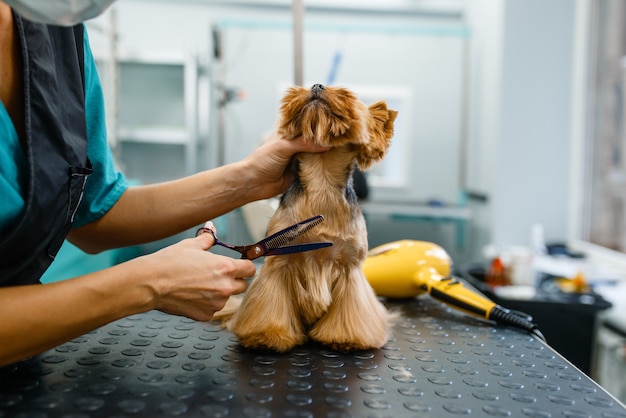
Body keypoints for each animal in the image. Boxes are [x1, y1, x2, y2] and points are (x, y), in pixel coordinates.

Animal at [219, 84, 394, 352]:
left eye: (347, 94)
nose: (317, 85)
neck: (321, 178)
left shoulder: (349, 267)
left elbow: (350, 309)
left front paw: (347, 338)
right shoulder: (278, 263)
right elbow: (269, 306)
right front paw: (266, 335)